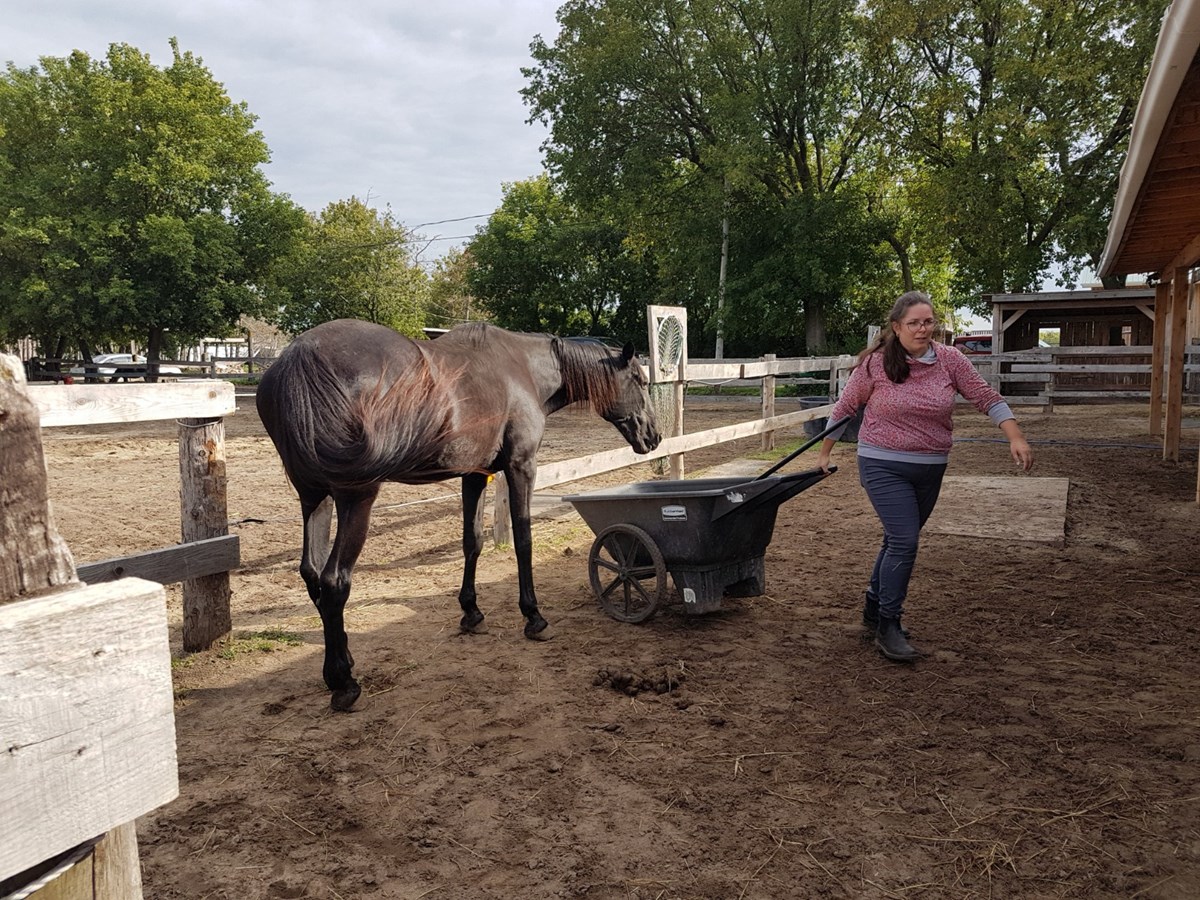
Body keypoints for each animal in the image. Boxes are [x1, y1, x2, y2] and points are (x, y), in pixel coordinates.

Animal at [256, 319, 661, 711]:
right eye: (640, 381)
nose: (654, 436)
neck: (523, 369)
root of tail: (300, 356)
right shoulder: (521, 467)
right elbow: (523, 540)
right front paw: (533, 617)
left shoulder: (474, 474)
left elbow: (473, 542)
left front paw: (471, 613)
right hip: (355, 498)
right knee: (334, 580)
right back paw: (344, 683)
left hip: (314, 498)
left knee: (311, 573)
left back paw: (342, 664)